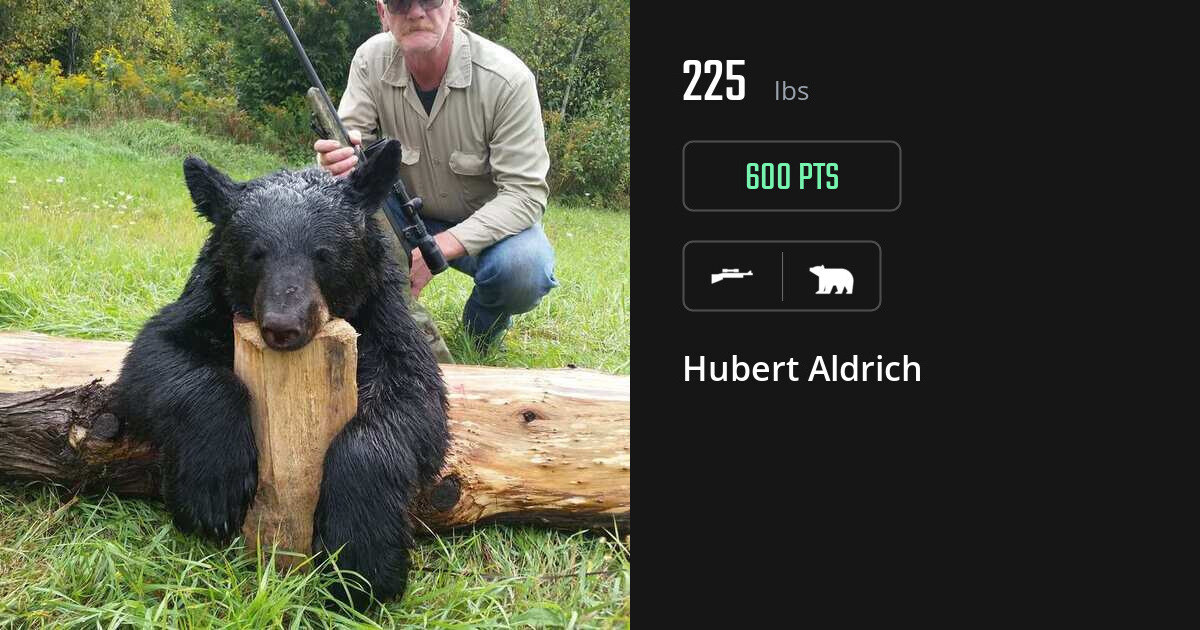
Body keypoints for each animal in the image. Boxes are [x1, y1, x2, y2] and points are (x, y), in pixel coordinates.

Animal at [107, 139, 449, 611]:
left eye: (324, 254)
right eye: (256, 254)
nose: (284, 326)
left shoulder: (385, 320)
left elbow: (413, 400)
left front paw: (362, 563)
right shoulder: (205, 304)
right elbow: (154, 356)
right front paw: (213, 493)